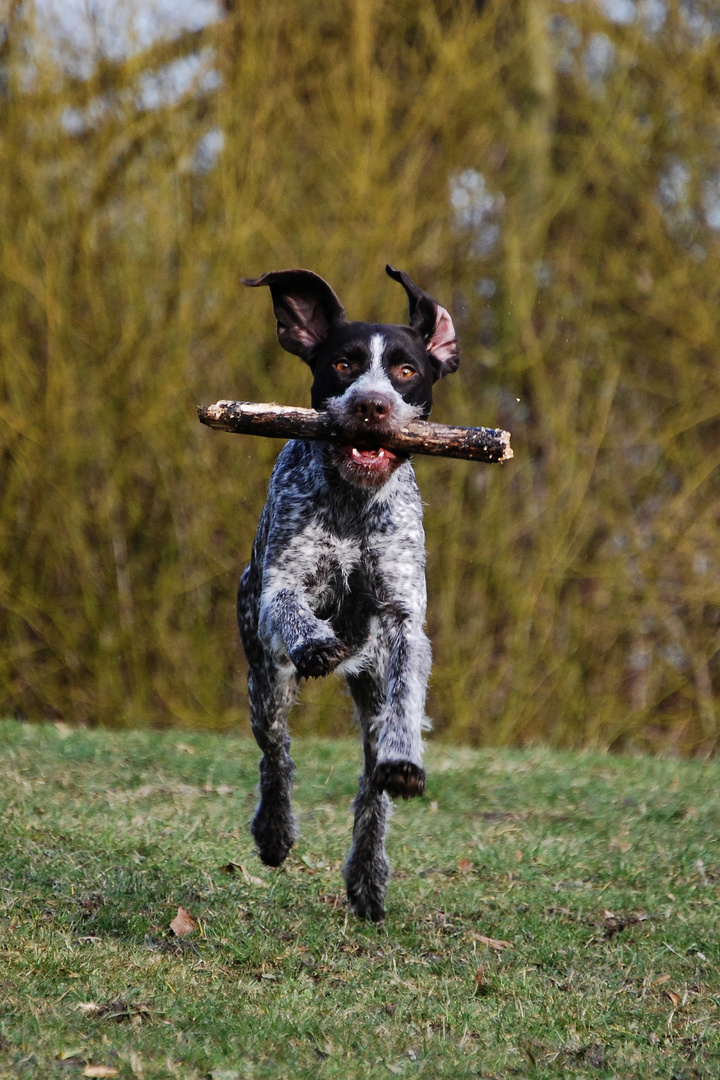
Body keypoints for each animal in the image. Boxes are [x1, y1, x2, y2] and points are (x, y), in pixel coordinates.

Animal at [237, 263, 462, 920]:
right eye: (343, 363)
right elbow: (292, 607)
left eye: (407, 370)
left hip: (370, 685)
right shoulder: (277, 591)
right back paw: (275, 831)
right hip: (264, 680)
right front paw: (316, 641)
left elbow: (407, 699)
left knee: (370, 791)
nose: (371, 405)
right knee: (276, 753)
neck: (353, 505)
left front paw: (405, 759)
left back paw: (367, 874)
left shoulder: (404, 620)